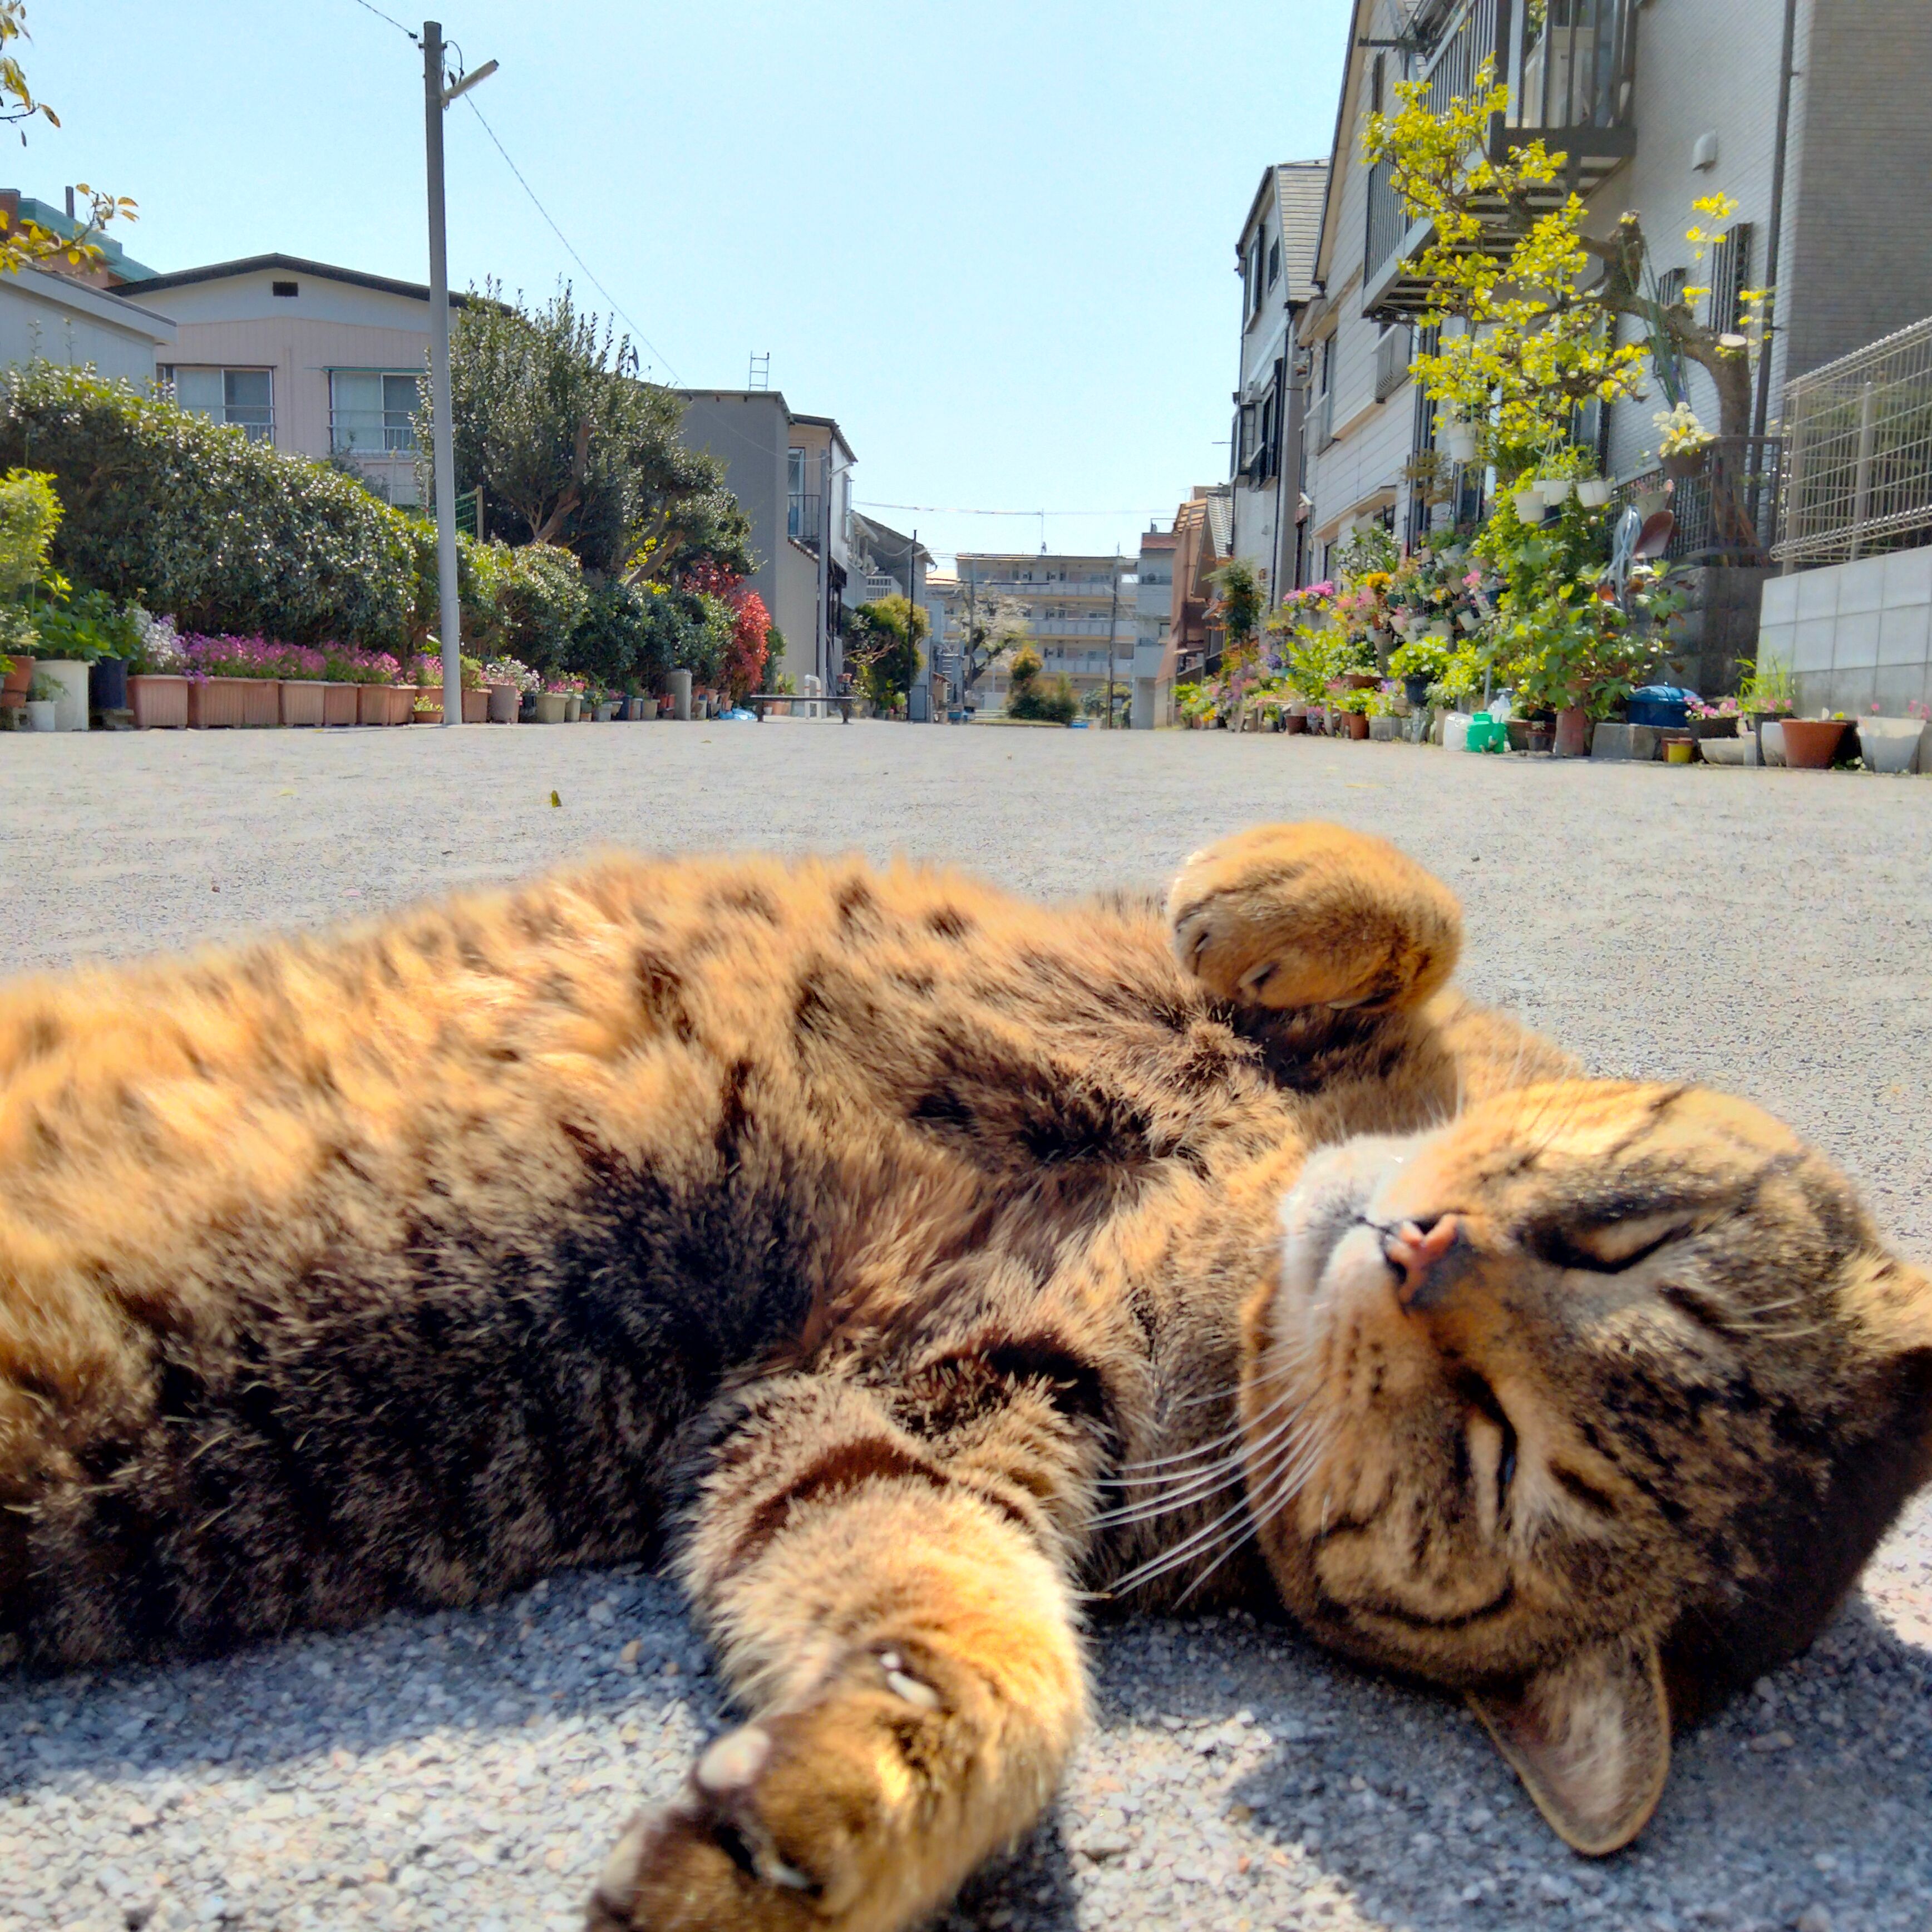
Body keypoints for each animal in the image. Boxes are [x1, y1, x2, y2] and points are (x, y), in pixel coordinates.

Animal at [0, 819, 1924, 1932]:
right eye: (1623, 1244)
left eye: (1492, 1458)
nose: (1419, 1248)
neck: (1245, 1220)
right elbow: (1407, 898)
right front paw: (1253, 905)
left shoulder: (908, 1406)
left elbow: (977, 1644)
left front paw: (831, 1825)